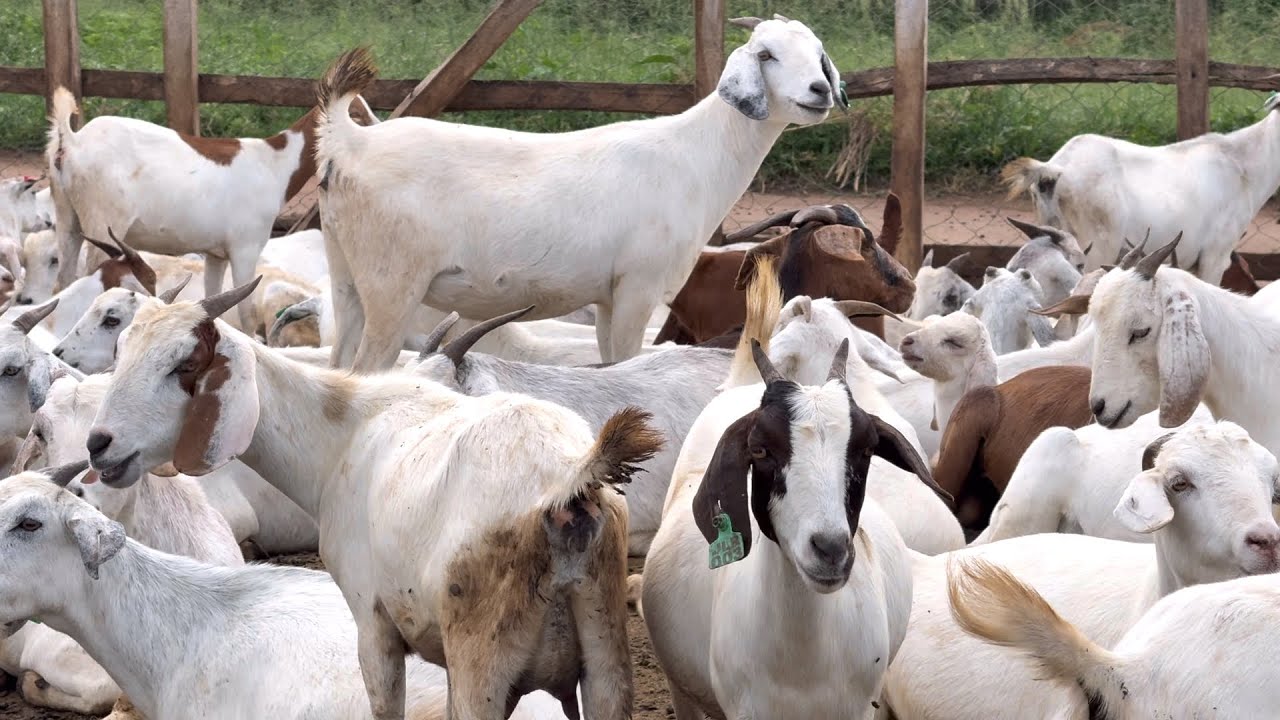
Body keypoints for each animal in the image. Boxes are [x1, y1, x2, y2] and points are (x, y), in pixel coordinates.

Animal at [44, 87, 373, 332]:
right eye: (355, 114)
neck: (274, 165)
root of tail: (71, 142)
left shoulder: (216, 255)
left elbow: (215, 298)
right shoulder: (245, 248)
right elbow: (245, 312)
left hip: (68, 217)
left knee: (63, 280)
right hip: (103, 222)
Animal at [87, 277, 663, 719]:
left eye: (183, 365)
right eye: (122, 349)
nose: (99, 445)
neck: (345, 435)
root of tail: (567, 478)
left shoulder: (373, 623)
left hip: (483, 655)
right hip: (605, 650)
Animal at [315, 17, 845, 369]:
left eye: (819, 53)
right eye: (766, 54)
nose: (819, 90)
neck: (695, 155)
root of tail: (351, 141)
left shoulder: (608, 297)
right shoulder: (637, 286)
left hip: (346, 276)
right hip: (392, 282)